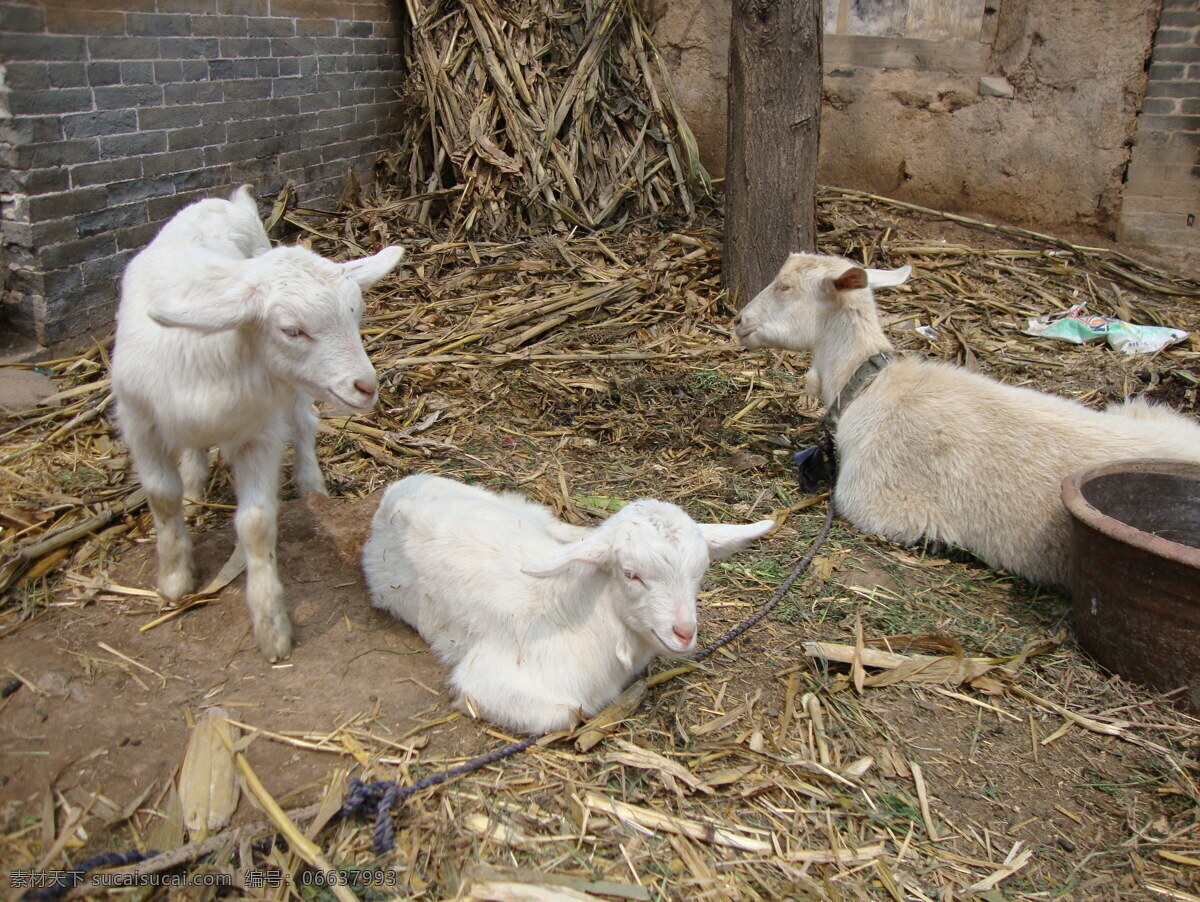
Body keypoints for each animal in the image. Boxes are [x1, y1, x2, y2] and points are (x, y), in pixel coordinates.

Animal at [112, 184, 403, 662]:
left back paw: (311, 487)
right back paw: (195, 489)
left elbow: (257, 522)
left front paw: (271, 626)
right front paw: (174, 579)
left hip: (296, 386)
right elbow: (162, 497)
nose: (366, 386)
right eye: (292, 330)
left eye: (355, 315)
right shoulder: (139, 422)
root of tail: (227, 202)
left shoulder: (260, 433)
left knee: (303, 425)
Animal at [360, 472, 772, 734]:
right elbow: (565, 715)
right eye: (630, 574)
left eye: (699, 572)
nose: (684, 632)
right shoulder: (489, 683)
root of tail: (400, 488)